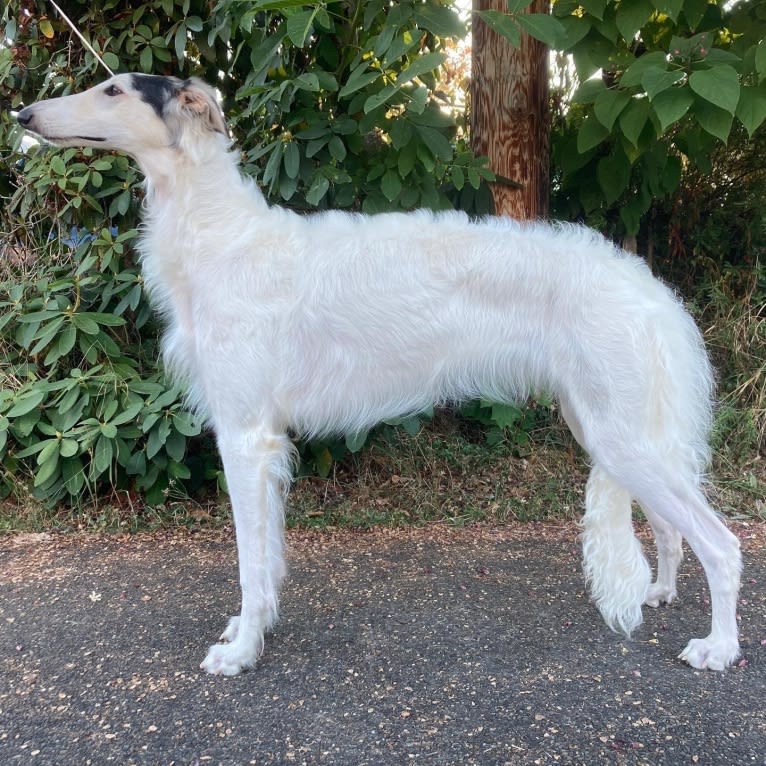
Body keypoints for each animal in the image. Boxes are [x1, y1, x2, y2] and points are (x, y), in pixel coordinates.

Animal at [16, 76, 744, 680]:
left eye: (113, 89)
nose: (22, 114)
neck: (223, 236)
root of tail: (652, 289)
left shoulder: (245, 435)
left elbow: (251, 562)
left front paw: (242, 652)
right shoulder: (262, 439)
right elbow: (267, 561)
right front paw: (253, 629)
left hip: (624, 435)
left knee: (723, 544)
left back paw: (719, 647)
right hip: (612, 429)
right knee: (673, 531)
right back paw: (661, 593)